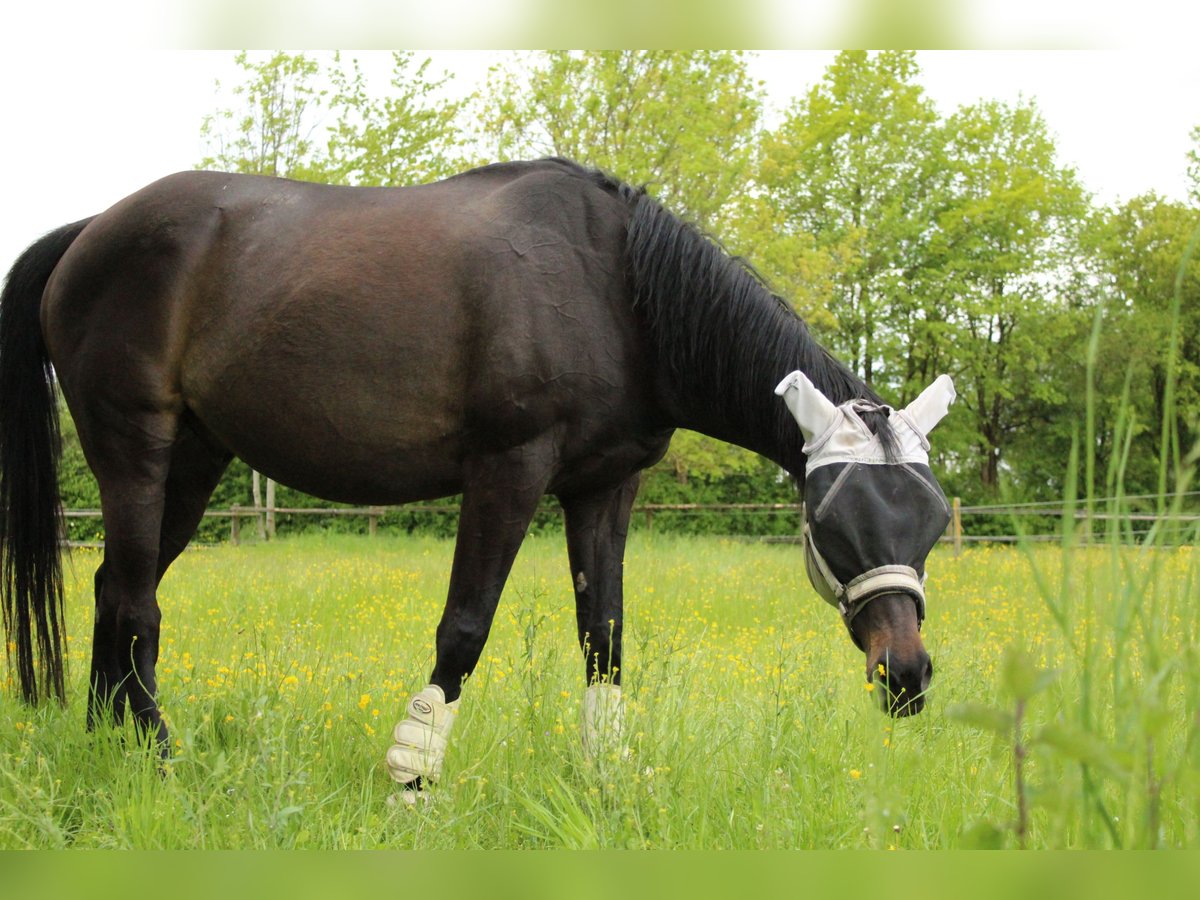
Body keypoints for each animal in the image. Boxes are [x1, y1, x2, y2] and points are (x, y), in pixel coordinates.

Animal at [2, 158, 955, 792]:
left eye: (934, 522)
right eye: (833, 519)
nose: (907, 677)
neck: (615, 289)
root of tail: (89, 231)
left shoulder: (604, 488)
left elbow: (604, 636)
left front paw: (605, 777)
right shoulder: (509, 470)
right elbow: (464, 625)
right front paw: (411, 775)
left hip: (197, 461)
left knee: (111, 592)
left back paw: (108, 747)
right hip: (135, 451)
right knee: (135, 602)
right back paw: (159, 756)